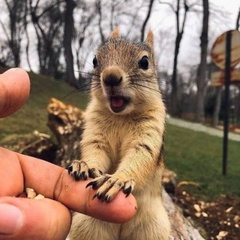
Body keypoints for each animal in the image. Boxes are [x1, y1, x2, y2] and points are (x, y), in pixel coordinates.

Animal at [67, 29, 171, 239]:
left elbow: (141, 155)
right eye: (95, 60)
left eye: (145, 62)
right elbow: (95, 150)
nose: (111, 77)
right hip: (87, 224)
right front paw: (84, 165)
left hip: (154, 229)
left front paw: (116, 181)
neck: (121, 117)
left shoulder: (150, 131)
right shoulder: (95, 131)